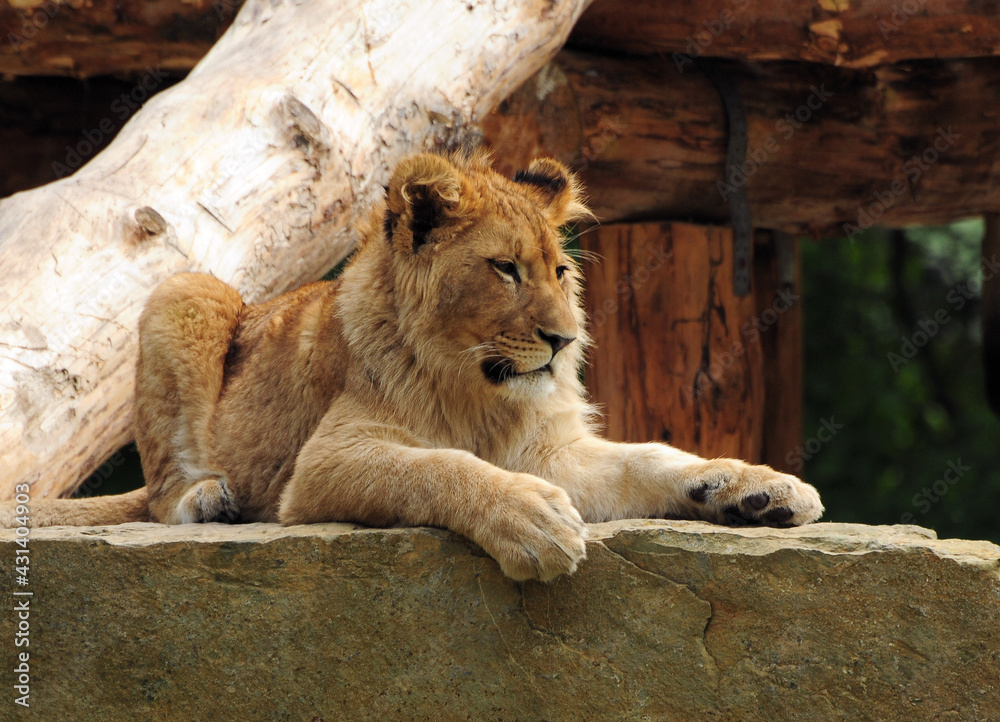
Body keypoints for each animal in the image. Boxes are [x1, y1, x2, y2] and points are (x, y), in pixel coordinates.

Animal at [5, 152, 823, 581]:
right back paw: (207, 500)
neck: (480, 392)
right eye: (504, 269)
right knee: (157, 494)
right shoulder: (325, 463)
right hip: (187, 291)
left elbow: (649, 458)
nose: (563, 341)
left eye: (560, 272)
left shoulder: (549, 450)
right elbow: (436, 466)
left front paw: (753, 488)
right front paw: (532, 522)